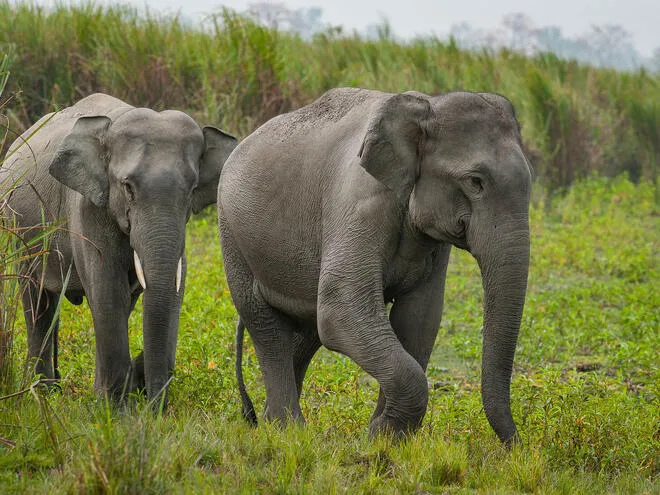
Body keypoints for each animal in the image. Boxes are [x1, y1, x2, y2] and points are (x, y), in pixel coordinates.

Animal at [0, 93, 237, 407]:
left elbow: (161, 289)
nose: (154, 407)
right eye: (127, 187)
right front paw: (114, 407)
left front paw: (112, 397)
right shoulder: (87, 208)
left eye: (192, 189)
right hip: (20, 232)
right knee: (38, 303)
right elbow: (107, 291)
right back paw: (44, 392)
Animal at [218, 88, 532, 443]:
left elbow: (419, 319)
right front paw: (380, 434)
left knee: (307, 331)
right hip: (232, 234)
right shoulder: (359, 203)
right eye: (475, 182)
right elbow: (342, 310)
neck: (427, 106)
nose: (517, 446)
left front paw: (384, 437)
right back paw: (288, 430)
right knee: (265, 324)